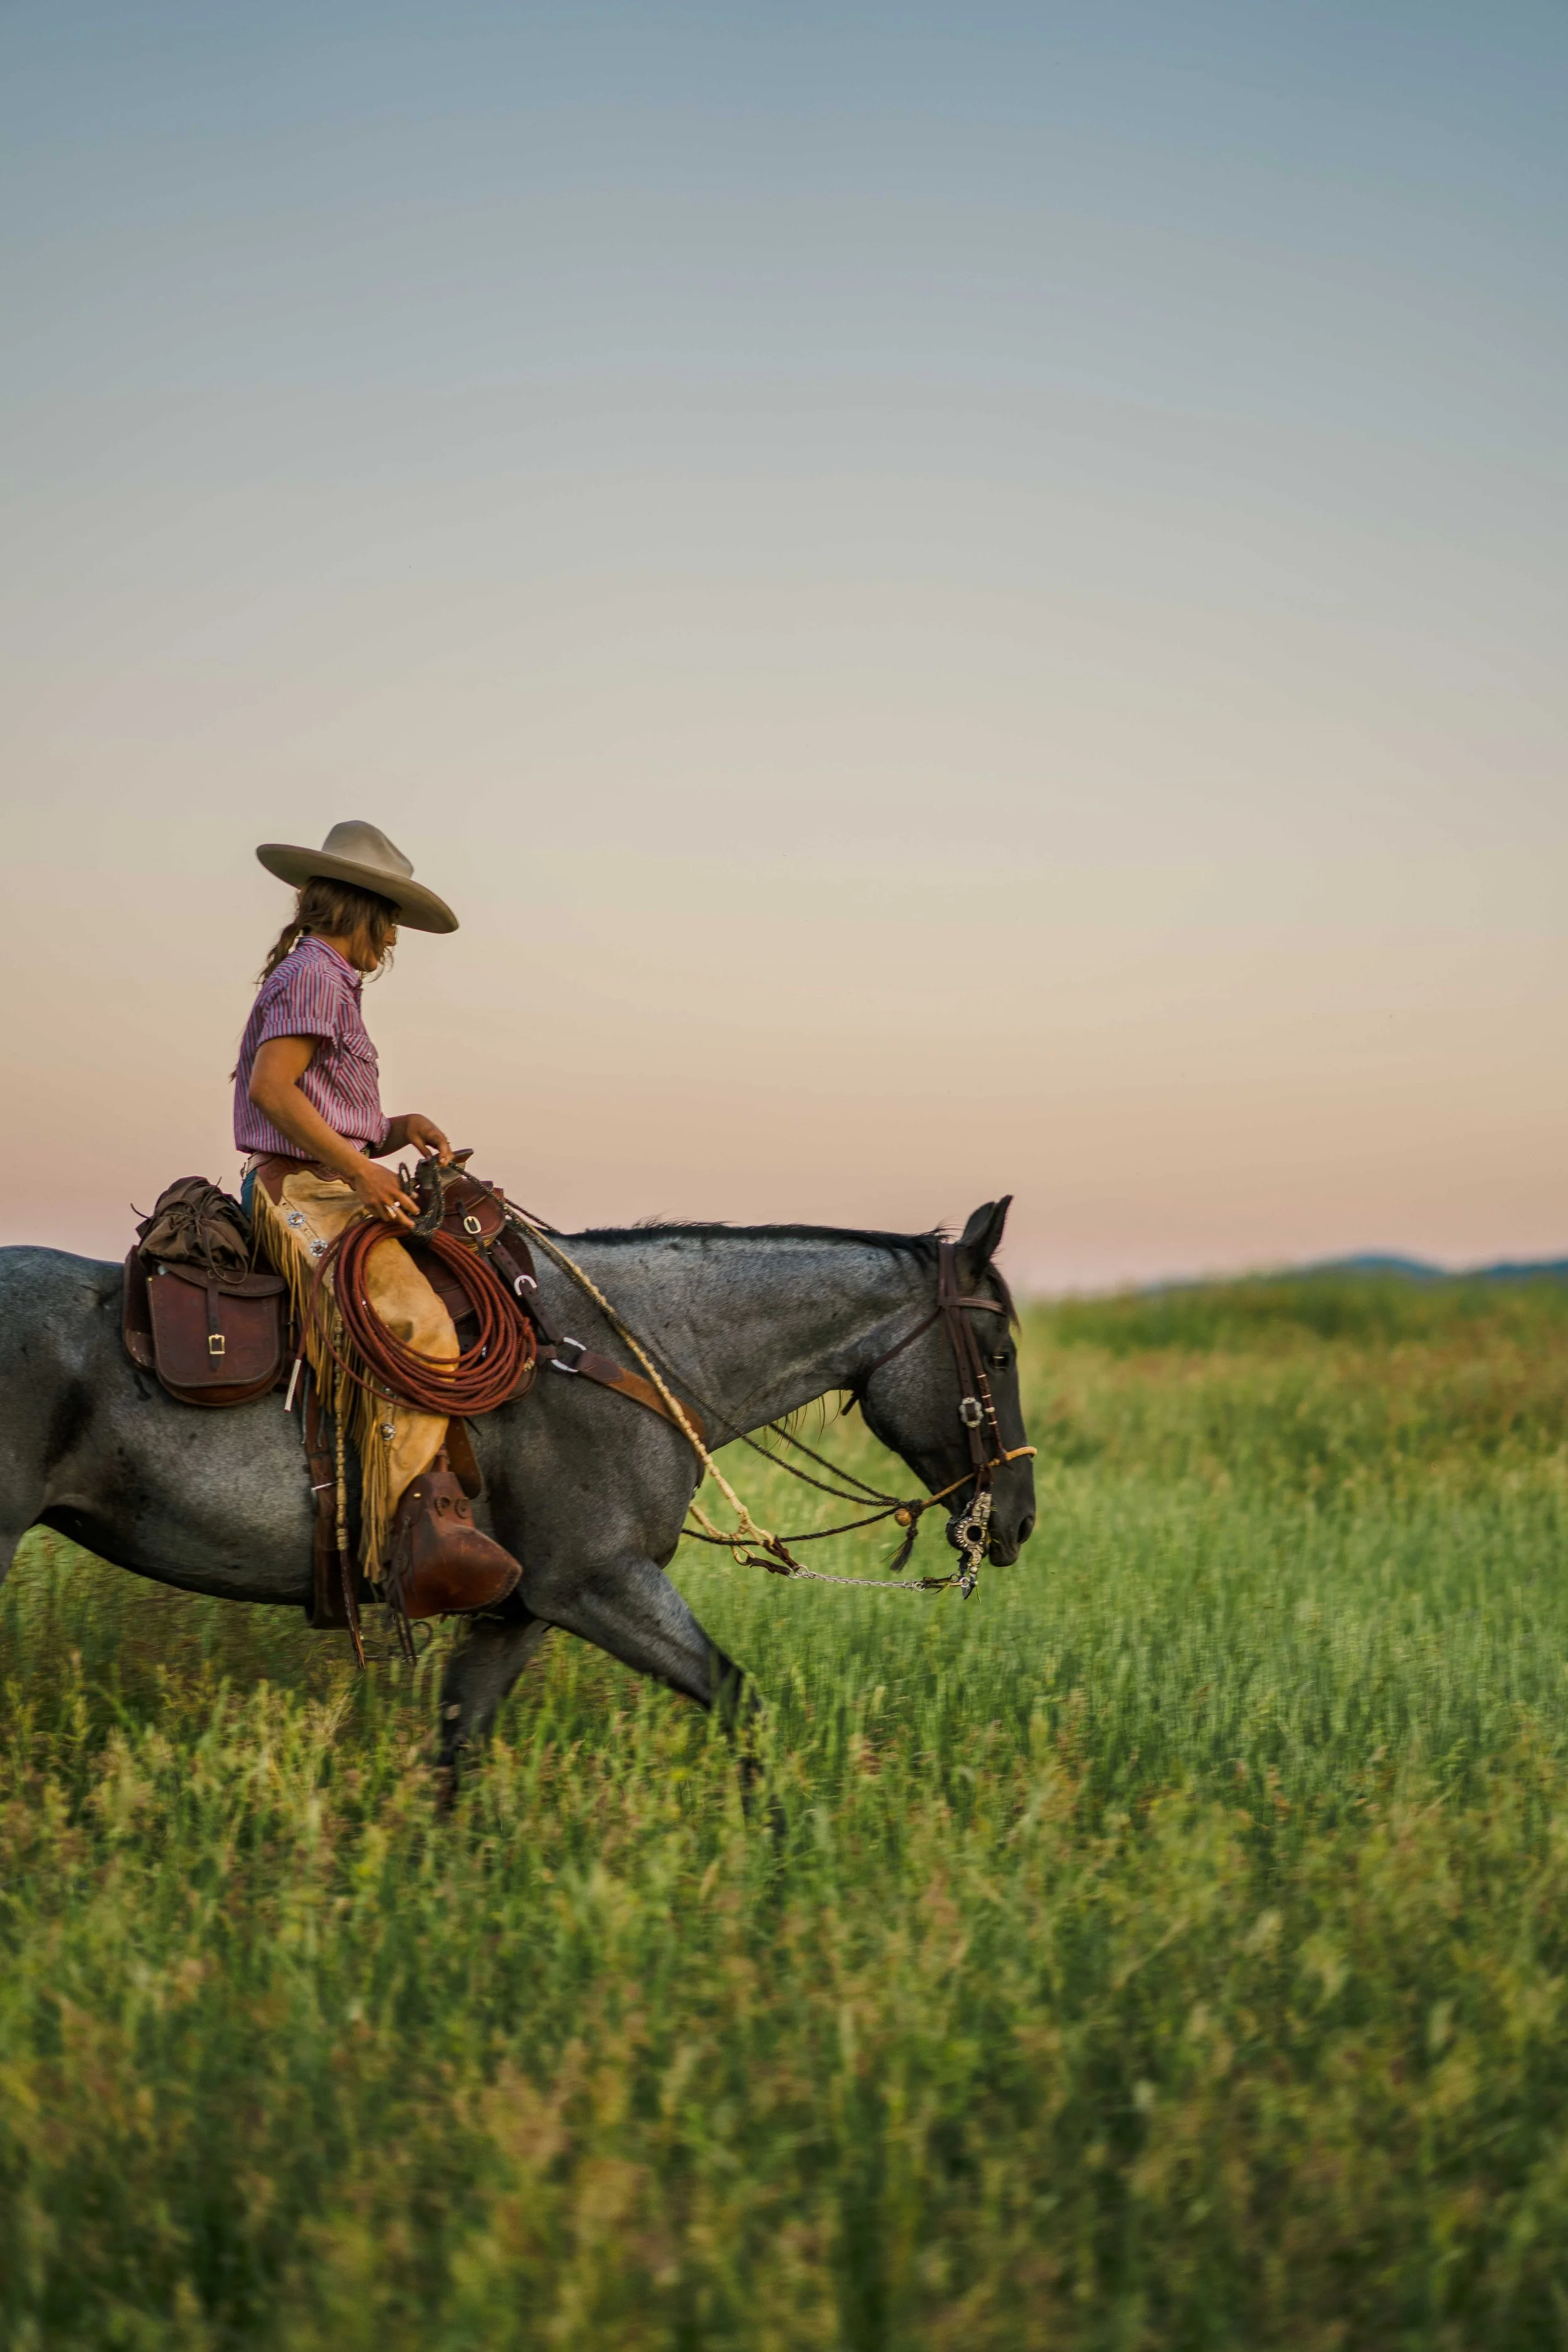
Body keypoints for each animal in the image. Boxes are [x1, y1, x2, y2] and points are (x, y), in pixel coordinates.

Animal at [0, 1196, 1035, 1788]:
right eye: (998, 1352)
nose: (1019, 1521)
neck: (617, 1355)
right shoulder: (601, 1583)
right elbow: (740, 1701)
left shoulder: (517, 1611)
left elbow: (458, 1750)